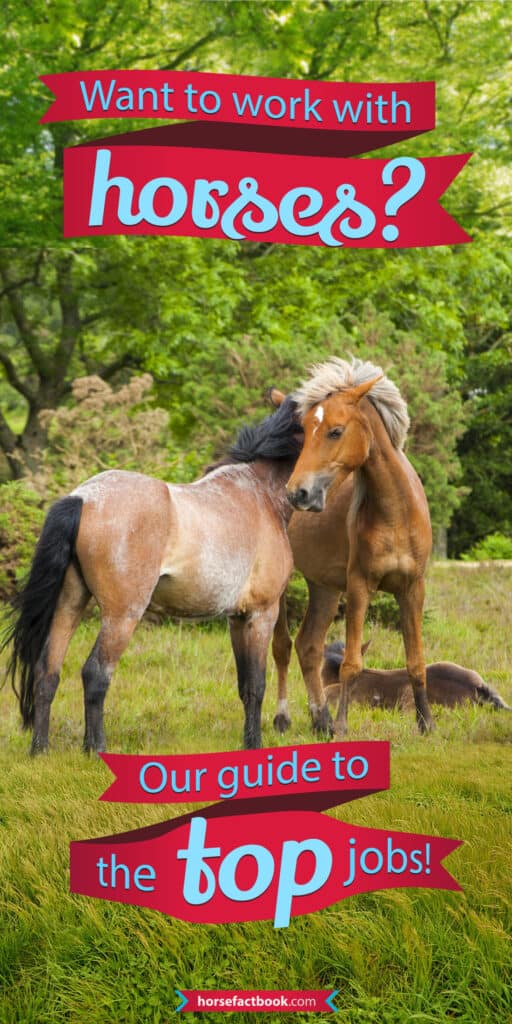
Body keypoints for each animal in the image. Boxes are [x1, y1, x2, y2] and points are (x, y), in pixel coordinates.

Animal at [3, 396, 302, 754]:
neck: (258, 493)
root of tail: (83, 498)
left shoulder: (237, 616)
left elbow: (245, 684)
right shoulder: (262, 612)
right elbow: (256, 684)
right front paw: (254, 746)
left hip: (69, 603)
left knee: (47, 670)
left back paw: (40, 750)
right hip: (122, 615)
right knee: (95, 674)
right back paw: (96, 749)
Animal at [271, 356, 434, 739]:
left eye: (335, 430)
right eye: (303, 432)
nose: (298, 493)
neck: (395, 513)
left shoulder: (413, 588)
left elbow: (416, 660)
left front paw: (426, 723)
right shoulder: (360, 587)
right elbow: (351, 664)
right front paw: (344, 725)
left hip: (324, 588)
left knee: (308, 645)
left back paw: (320, 720)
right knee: (282, 646)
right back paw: (285, 718)